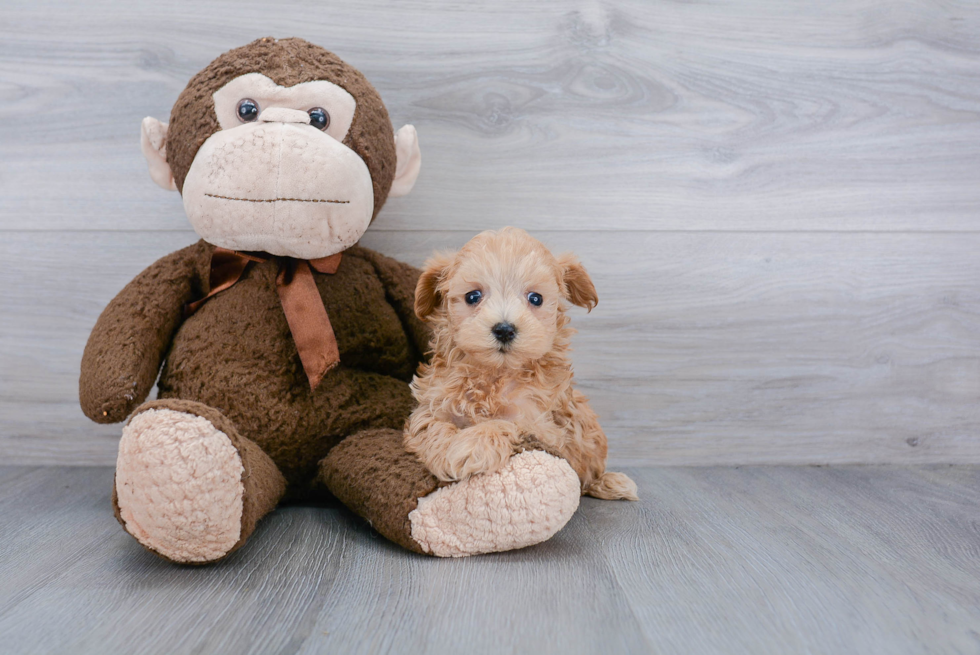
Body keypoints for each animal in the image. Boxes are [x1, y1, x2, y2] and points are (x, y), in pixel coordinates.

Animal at [404, 227, 640, 502]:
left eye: (535, 298)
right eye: (473, 296)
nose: (504, 329)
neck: (496, 374)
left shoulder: (540, 424)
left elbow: (504, 422)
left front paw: (471, 446)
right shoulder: (433, 402)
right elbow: (430, 425)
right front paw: (445, 452)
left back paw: (611, 482)